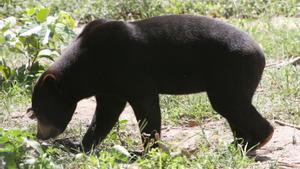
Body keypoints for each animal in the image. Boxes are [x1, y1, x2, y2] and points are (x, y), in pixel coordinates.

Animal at [27, 14, 274, 152]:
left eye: (40, 112)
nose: (40, 136)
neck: (86, 66)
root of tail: (260, 52)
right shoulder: (108, 87)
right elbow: (105, 115)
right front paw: (82, 146)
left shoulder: (131, 71)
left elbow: (146, 108)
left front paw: (150, 151)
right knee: (234, 111)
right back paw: (239, 144)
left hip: (231, 70)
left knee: (231, 105)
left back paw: (257, 141)